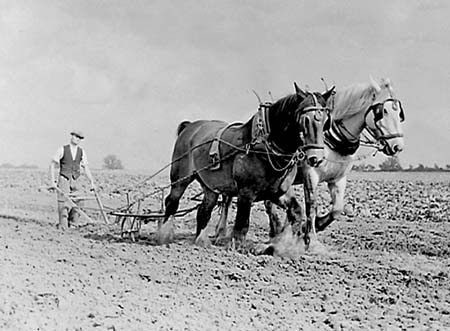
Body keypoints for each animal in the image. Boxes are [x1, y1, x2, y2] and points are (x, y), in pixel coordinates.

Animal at [155, 83, 334, 249]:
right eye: (305, 120)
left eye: (326, 121)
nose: (316, 158)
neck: (266, 145)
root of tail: (191, 126)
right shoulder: (246, 192)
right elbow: (242, 224)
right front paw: (236, 246)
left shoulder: (277, 192)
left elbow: (296, 212)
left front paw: (285, 245)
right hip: (180, 178)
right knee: (172, 202)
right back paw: (164, 236)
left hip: (210, 186)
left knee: (204, 210)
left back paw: (201, 240)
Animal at [213, 77, 406, 254]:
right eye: (382, 112)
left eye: (399, 114)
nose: (398, 146)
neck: (332, 140)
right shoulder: (310, 174)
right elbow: (311, 205)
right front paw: (311, 238)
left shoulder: (338, 179)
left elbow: (337, 209)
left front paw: (312, 227)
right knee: (228, 198)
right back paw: (220, 232)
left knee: (266, 202)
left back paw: (276, 232)